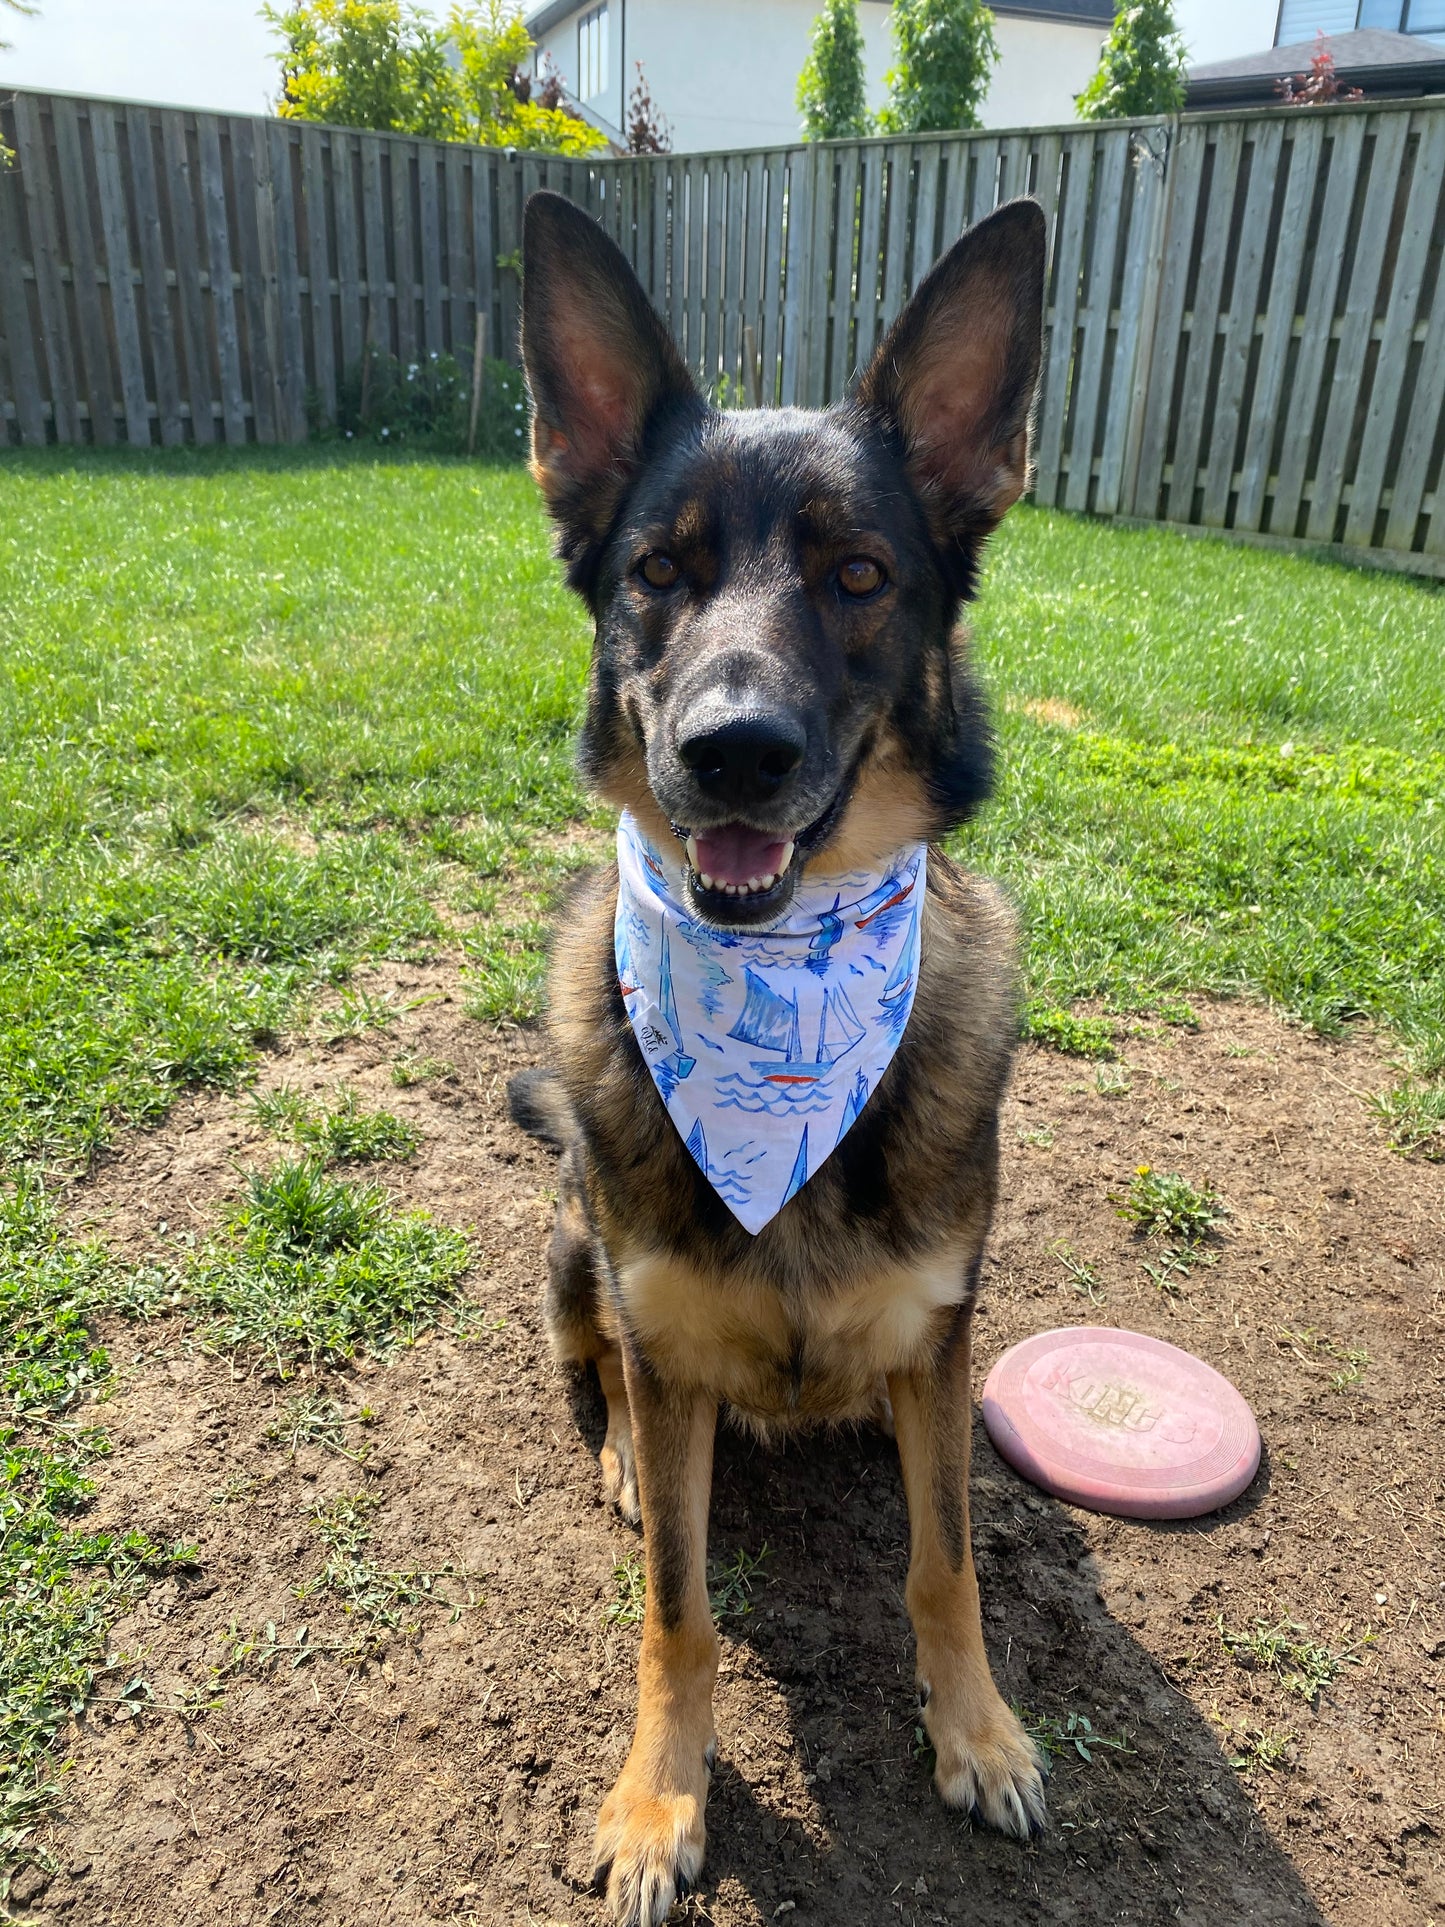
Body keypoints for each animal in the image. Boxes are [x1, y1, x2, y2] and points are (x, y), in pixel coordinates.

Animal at [512, 184, 1055, 1927]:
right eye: (659, 571)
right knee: (594, 1365)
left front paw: (976, 1728)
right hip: (573, 1239)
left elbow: (945, 1558)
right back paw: (626, 1458)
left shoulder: (943, 1336)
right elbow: (675, 1609)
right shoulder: (659, 1332)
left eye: (860, 571)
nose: (730, 750)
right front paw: (657, 1798)